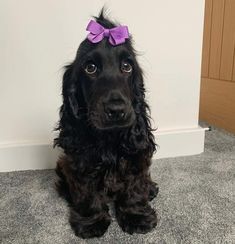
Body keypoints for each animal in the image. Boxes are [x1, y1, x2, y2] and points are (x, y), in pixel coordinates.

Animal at [54, 10, 159, 238]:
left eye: (127, 66)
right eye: (90, 68)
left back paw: (151, 188)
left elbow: (134, 187)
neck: (109, 138)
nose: (116, 110)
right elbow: (86, 192)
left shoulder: (136, 157)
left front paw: (137, 216)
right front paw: (91, 222)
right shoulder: (81, 161)